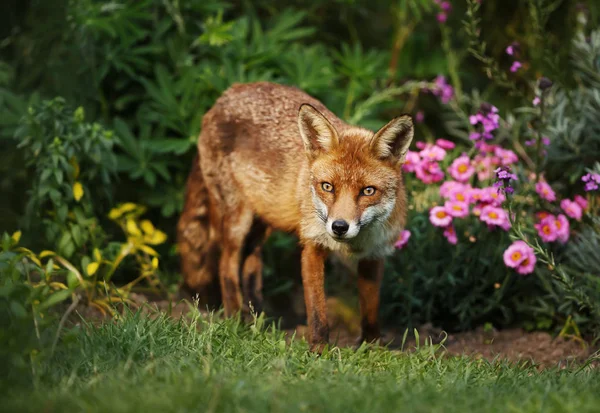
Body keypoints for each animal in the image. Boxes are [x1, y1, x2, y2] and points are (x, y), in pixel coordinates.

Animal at [178, 81, 412, 350]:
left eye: (368, 191)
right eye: (327, 186)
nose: (339, 227)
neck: (356, 243)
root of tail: (227, 94)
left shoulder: (375, 254)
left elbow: (371, 306)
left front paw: (372, 346)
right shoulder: (312, 245)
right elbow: (317, 309)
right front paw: (319, 350)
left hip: (264, 221)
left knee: (251, 263)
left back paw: (257, 317)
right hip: (238, 221)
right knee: (227, 265)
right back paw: (235, 319)